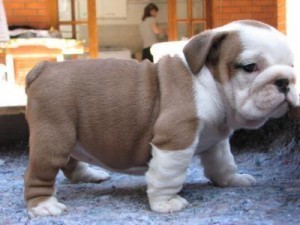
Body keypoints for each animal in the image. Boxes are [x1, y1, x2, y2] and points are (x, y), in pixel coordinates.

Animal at [24, 20, 298, 217]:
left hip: (70, 135)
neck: (209, 83)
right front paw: (166, 203)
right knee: (40, 174)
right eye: (249, 67)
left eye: (292, 66)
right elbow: (169, 175)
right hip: (54, 137)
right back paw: (44, 205)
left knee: (71, 162)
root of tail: (43, 68)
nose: (285, 80)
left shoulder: (217, 141)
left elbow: (223, 163)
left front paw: (232, 180)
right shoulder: (175, 140)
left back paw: (89, 175)